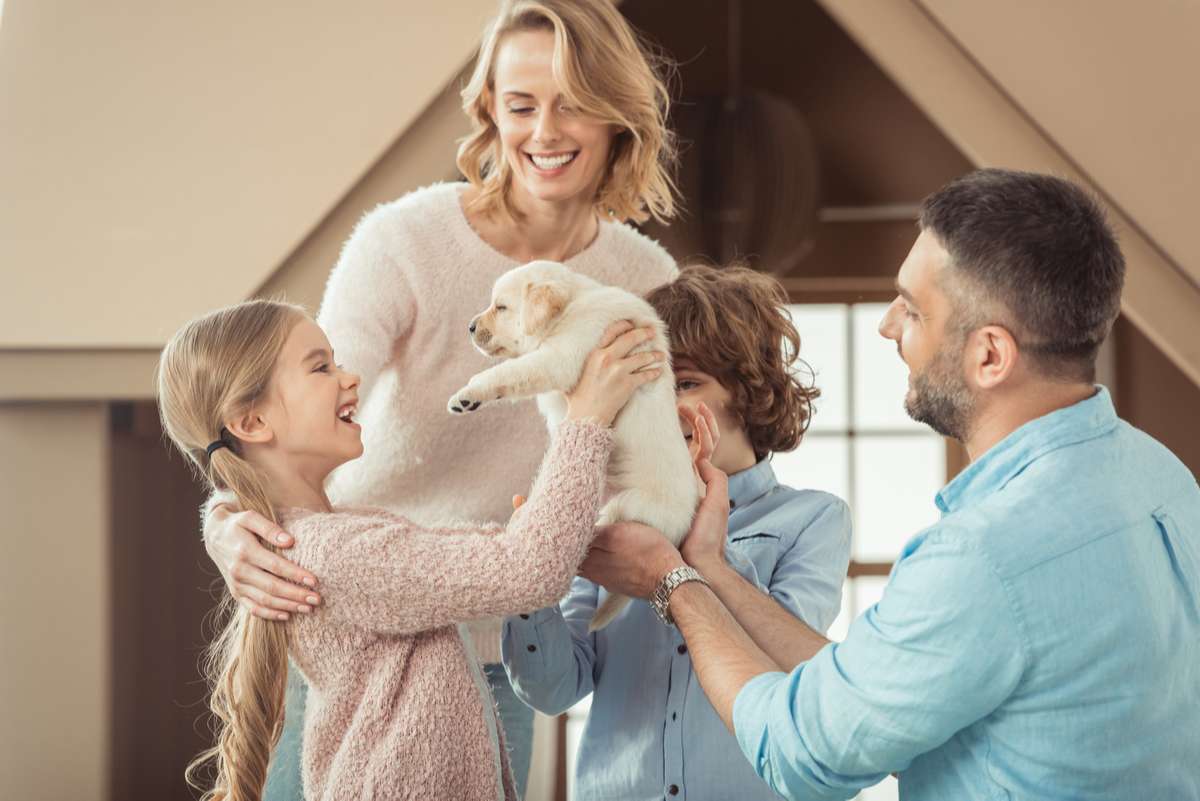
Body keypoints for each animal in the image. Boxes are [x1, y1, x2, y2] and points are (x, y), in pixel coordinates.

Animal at [448, 262, 696, 633]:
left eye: (501, 307)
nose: (470, 327)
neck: (571, 308)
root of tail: (680, 527)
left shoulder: (558, 358)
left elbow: (506, 372)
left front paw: (467, 394)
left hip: (630, 507)